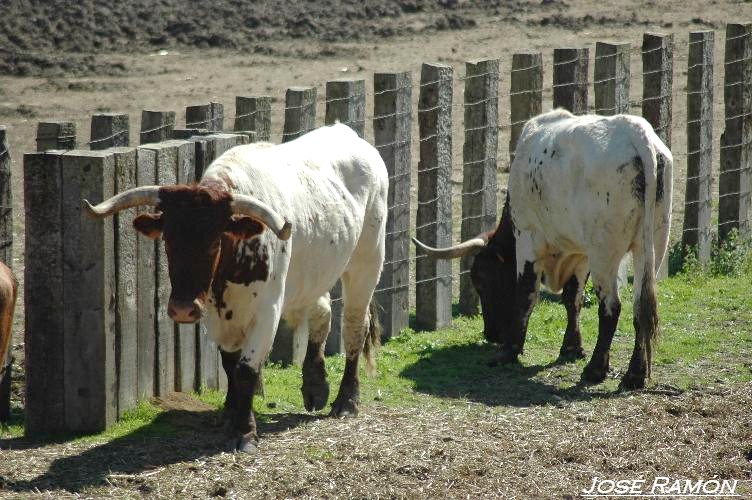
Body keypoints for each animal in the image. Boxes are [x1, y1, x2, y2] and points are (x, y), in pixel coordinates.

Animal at [85, 123, 388, 452]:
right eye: (167, 240)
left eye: (215, 241)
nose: (182, 309)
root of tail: (348, 133)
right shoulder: (213, 314)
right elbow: (229, 365)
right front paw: (231, 415)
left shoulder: (267, 311)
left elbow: (245, 369)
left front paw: (244, 431)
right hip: (310, 275)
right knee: (322, 312)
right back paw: (315, 385)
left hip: (366, 261)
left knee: (355, 327)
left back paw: (346, 401)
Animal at [414, 109, 672, 390]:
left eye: (480, 280)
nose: (491, 334)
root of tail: (638, 133)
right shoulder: (579, 254)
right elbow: (572, 299)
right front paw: (571, 347)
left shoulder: (528, 239)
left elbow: (526, 294)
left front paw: (510, 350)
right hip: (651, 247)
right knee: (641, 308)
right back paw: (636, 374)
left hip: (605, 253)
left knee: (611, 308)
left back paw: (596, 370)